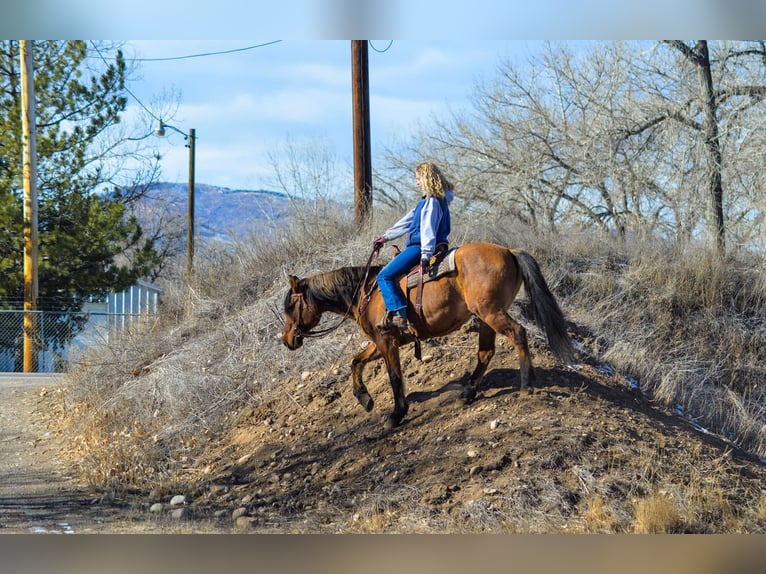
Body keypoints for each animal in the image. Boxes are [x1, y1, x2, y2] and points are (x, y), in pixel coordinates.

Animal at [282, 243, 576, 432]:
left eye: (290, 306)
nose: (287, 340)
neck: (367, 291)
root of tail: (508, 251)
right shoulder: (380, 341)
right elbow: (356, 361)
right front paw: (364, 398)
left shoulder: (386, 341)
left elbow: (394, 376)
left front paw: (396, 415)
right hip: (485, 318)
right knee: (485, 352)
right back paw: (467, 393)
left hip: (491, 313)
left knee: (518, 334)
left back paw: (526, 385)